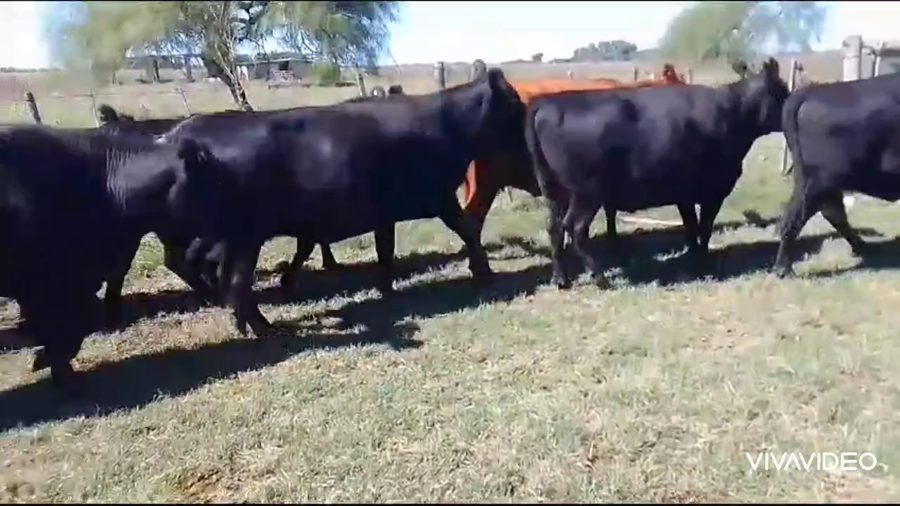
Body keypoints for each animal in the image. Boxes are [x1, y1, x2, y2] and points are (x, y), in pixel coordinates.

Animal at [154, 68, 526, 338]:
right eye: (515, 103)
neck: (447, 125)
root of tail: (178, 133)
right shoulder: (439, 197)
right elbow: (467, 229)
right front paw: (483, 270)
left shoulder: (384, 212)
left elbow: (385, 249)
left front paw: (387, 287)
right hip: (244, 236)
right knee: (231, 278)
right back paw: (262, 327)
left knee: (209, 268)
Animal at [524, 58, 789, 289]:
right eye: (783, 91)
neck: (732, 113)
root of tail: (546, 103)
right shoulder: (713, 192)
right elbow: (705, 228)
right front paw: (704, 261)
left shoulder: (685, 195)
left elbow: (691, 227)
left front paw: (694, 258)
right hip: (586, 193)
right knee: (575, 229)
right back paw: (600, 278)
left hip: (555, 191)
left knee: (554, 228)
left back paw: (561, 279)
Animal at [774, 71, 900, 278]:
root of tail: (809, 92)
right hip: (818, 183)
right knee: (795, 218)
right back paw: (784, 269)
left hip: (821, 184)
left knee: (833, 213)